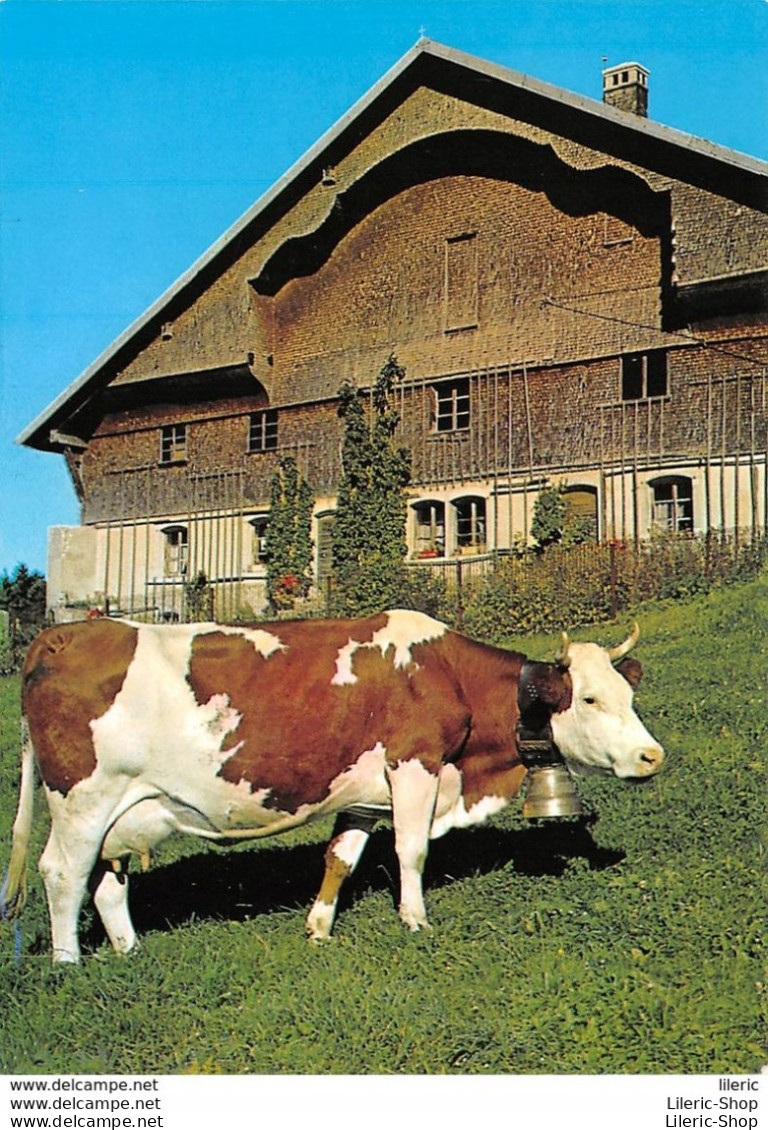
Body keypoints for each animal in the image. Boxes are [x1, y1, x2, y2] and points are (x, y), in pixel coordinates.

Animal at [0, 610, 664, 962]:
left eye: (628, 694)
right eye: (590, 698)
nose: (651, 755)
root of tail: (63, 633)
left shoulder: (365, 792)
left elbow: (341, 858)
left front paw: (319, 927)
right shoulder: (414, 763)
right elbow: (411, 849)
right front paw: (415, 920)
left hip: (121, 810)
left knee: (106, 884)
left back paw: (130, 953)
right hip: (82, 801)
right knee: (63, 873)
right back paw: (68, 961)